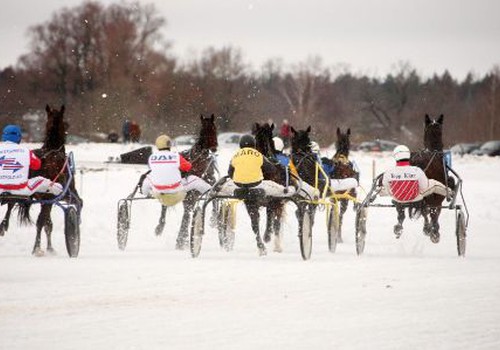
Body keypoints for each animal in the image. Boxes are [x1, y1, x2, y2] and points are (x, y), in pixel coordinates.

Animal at [154, 113, 219, 249]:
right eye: (203, 130)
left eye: (214, 129)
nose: (214, 148)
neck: (199, 162)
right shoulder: (191, 190)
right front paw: (182, 237)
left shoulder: (210, 179)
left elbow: (213, 194)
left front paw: (214, 219)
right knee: (165, 207)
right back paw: (161, 227)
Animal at [396, 113, 456, 242]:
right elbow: (432, 210)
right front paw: (432, 230)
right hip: (435, 192)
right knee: (432, 209)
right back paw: (433, 231)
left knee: (402, 209)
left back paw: (399, 227)